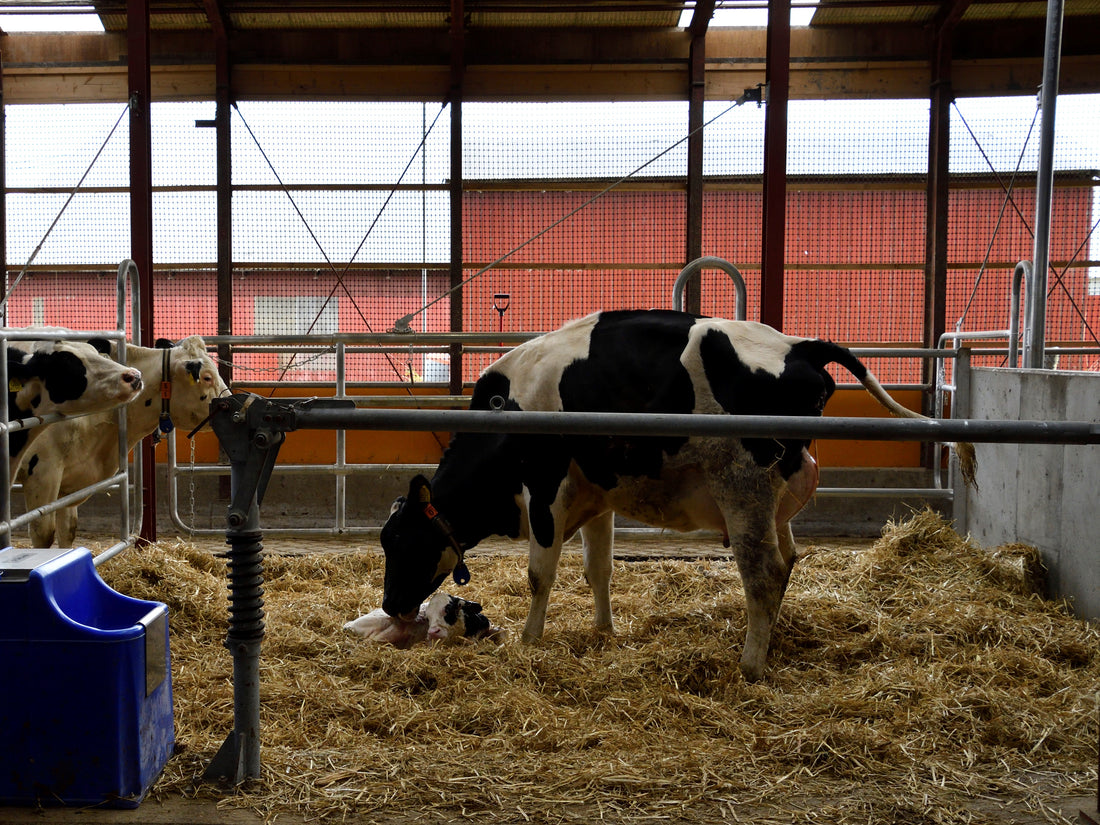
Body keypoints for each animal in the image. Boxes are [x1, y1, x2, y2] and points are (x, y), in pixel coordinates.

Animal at [380, 310, 981, 686]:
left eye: (403, 543)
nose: (389, 605)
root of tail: (795, 345)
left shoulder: (547, 489)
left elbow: (539, 574)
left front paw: (529, 641)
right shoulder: (597, 492)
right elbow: (599, 569)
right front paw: (604, 632)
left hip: (744, 487)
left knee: (764, 571)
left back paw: (750, 665)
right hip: (773, 497)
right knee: (787, 562)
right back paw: (770, 642)